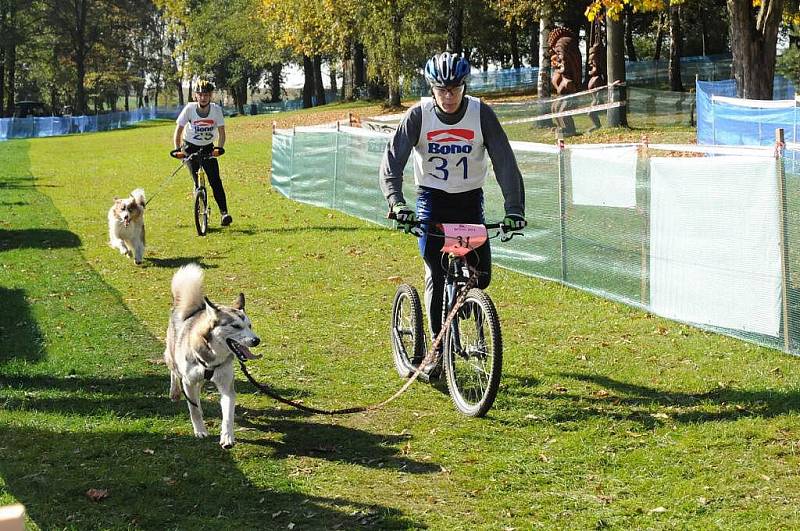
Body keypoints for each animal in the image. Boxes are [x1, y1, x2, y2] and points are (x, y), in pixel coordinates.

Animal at [162, 264, 262, 448]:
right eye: (236, 326)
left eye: (249, 326)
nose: (256, 340)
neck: (213, 356)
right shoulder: (188, 381)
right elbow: (193, 409)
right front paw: (200, 430)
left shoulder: (227, 387)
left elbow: (228, 415)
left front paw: (227, 437)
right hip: (173, 358)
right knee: (174, 373)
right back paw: (174, 392)